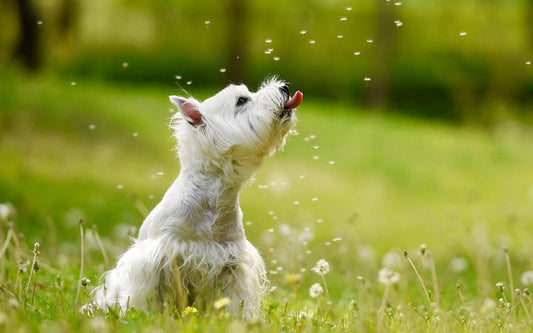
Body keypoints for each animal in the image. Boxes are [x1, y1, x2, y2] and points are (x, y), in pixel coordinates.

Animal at [87, 77, 304, 316]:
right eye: (241, 100)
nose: (285, 87)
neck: (214, 201)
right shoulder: (157, 259)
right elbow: (148, 294)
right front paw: (144, 315)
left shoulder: (233, 264)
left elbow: (235, 299)